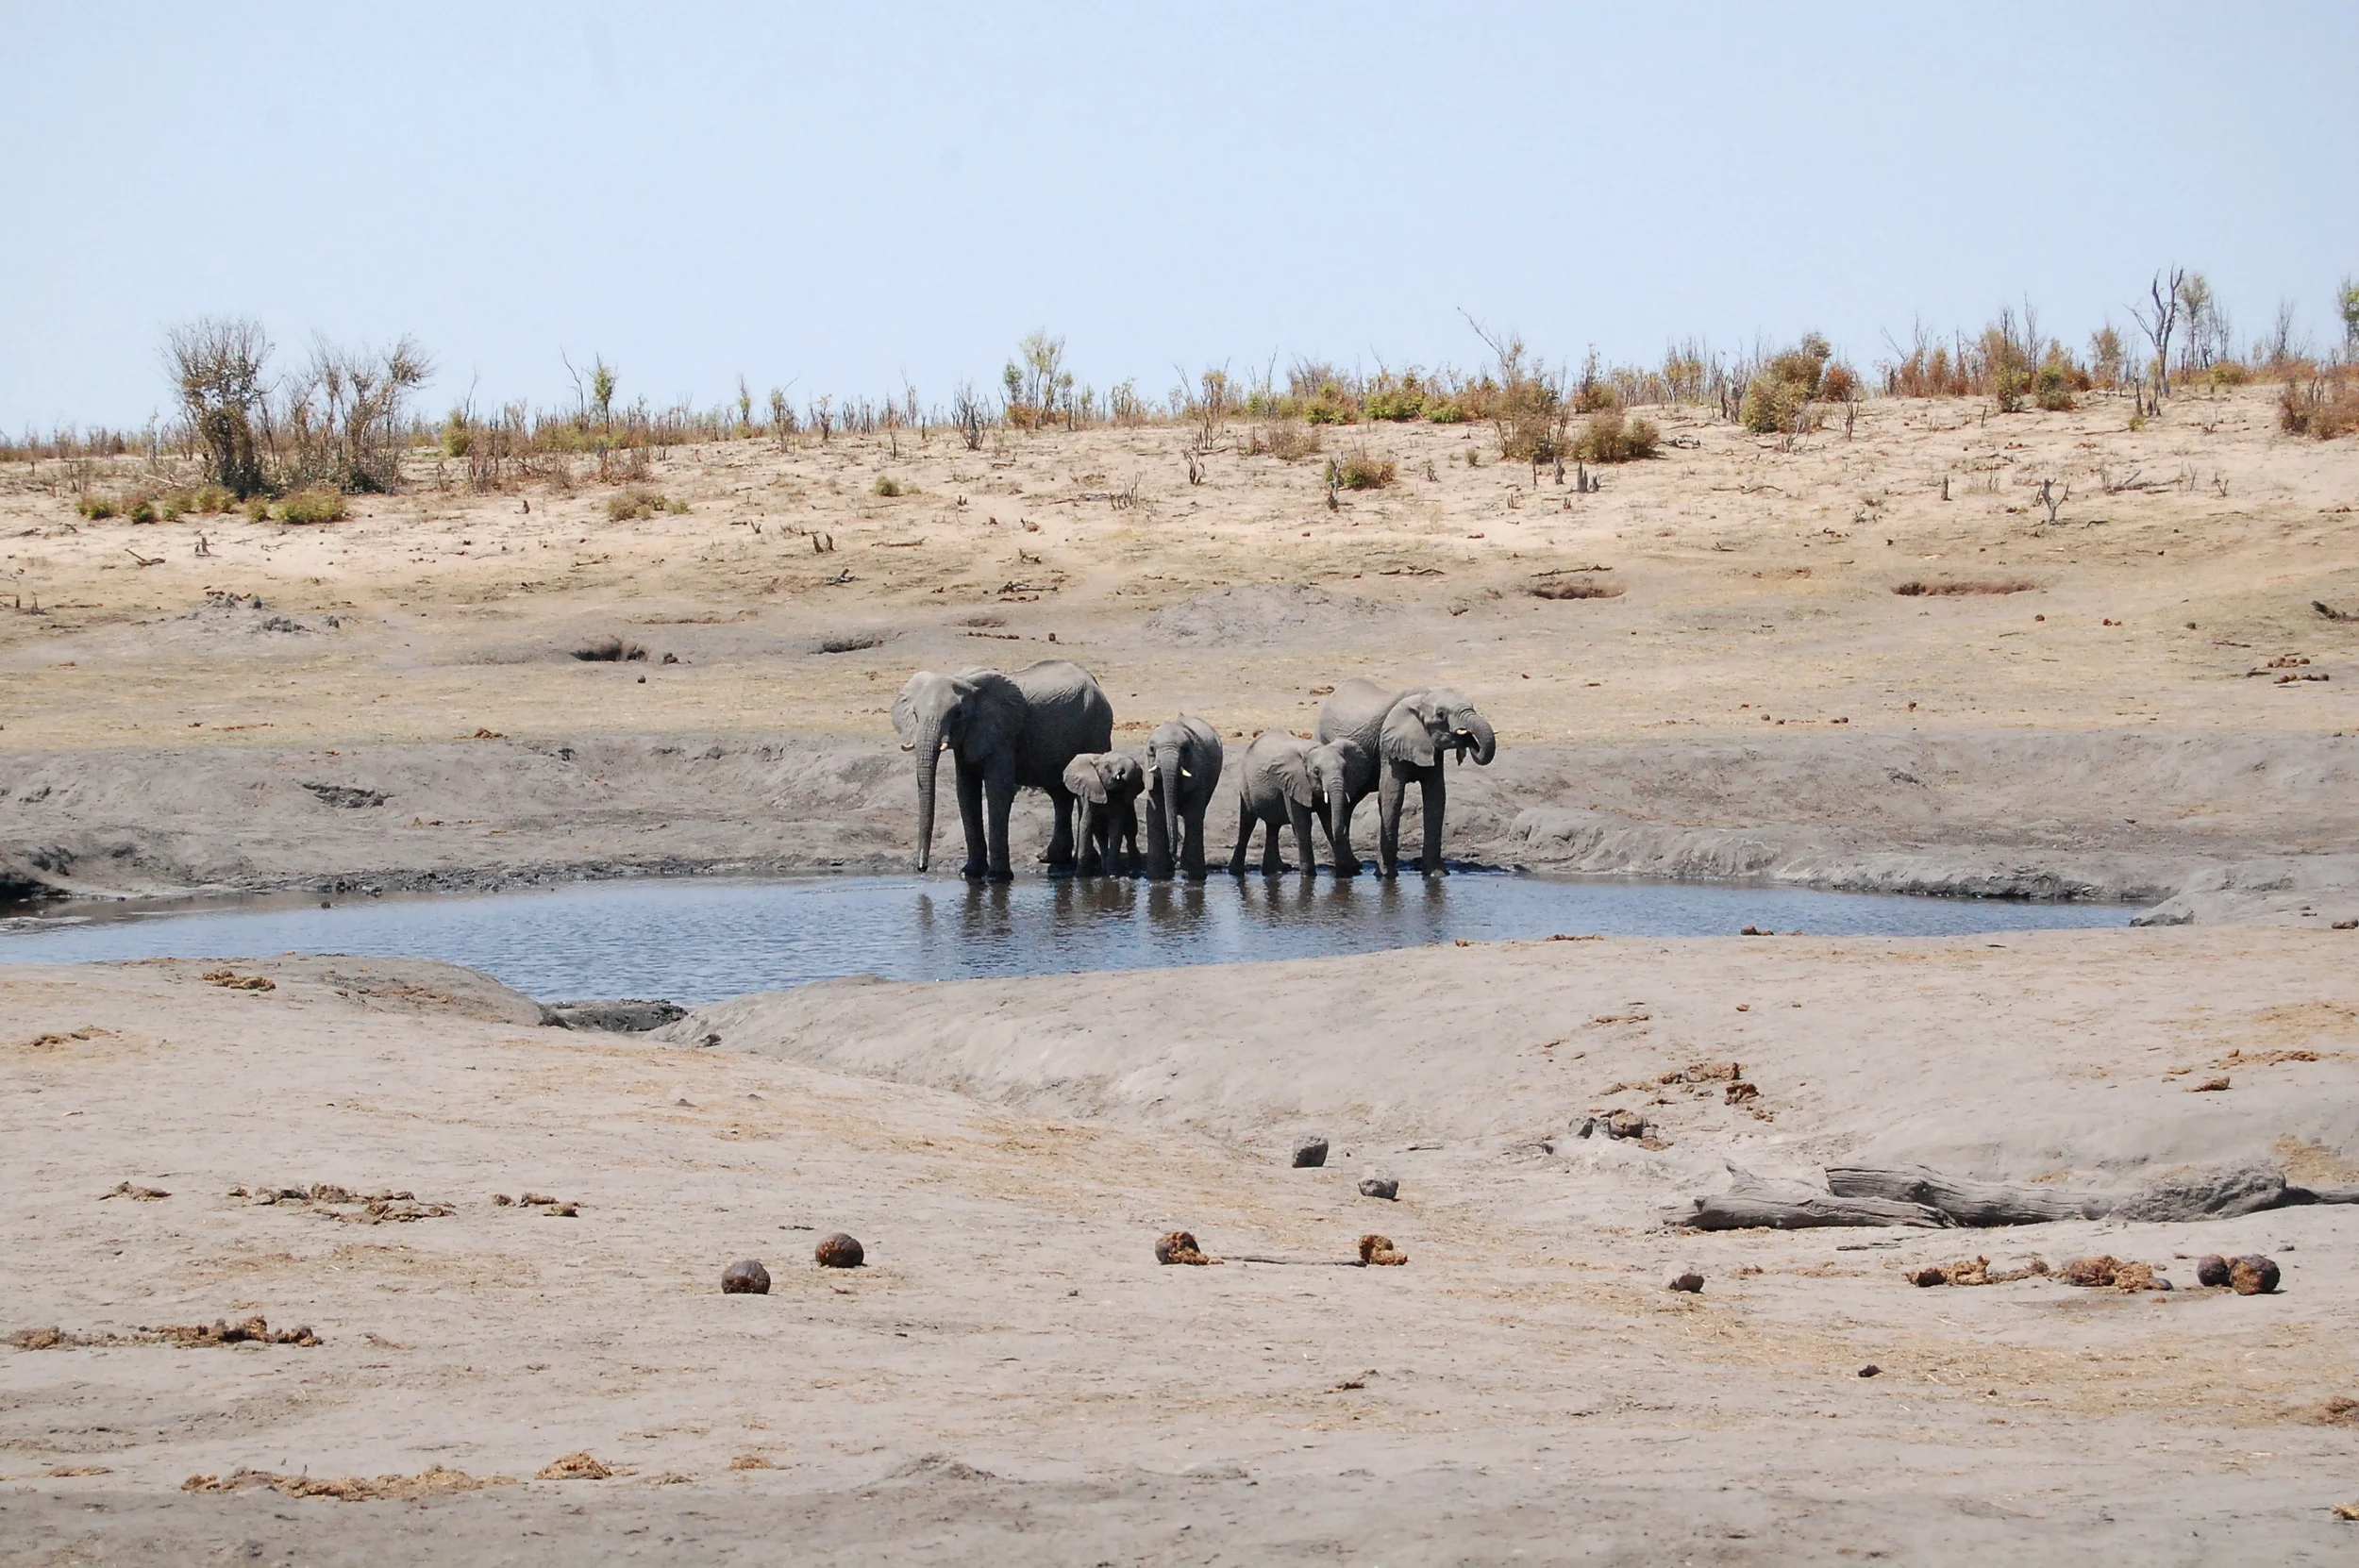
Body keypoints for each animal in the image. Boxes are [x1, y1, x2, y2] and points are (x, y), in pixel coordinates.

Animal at [892, 659, 1114, 881]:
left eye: (958, 714)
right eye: (915, 715)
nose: (922, 868)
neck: (963, 680)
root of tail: (1094, 682)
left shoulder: (1002, 733)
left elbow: (998, 791)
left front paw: (997, 877)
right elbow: (966, 792)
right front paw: (969, 874)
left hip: (1096, 727)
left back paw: (1086, 864)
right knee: (1059, 793)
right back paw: (1050, 858)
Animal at [1060, 751, 1146, 876]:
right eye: (1107, 767)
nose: (1121, 773)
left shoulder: (1119, 799)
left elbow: (1116, 828)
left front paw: (1112, 874)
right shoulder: (1090, 795)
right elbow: (1086, 825)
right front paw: (1080, 876)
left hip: (1130, 805)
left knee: (1130, 830)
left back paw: (1135, 868)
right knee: (1101, 834)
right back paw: (1104, 869)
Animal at [1144, 714, 1224, 880]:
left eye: (1185, 749)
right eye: (1152, 749)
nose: (1174, 858)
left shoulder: (1198, 771)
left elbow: (1193, 816)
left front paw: (1193, 876)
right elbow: (1154, 816)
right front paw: (1157, 876)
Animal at [1314, 678, 1497, 877]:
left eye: (1473, 707)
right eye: (1441, 714)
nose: (1469, 741)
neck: (1422, 699)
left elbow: (1436, 797)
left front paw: (1437, 874)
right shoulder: (1389, 745)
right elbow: (1392, 796)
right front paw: (1386, 875)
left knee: (1347, 803)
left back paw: (1352, 866)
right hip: (1323, 740)